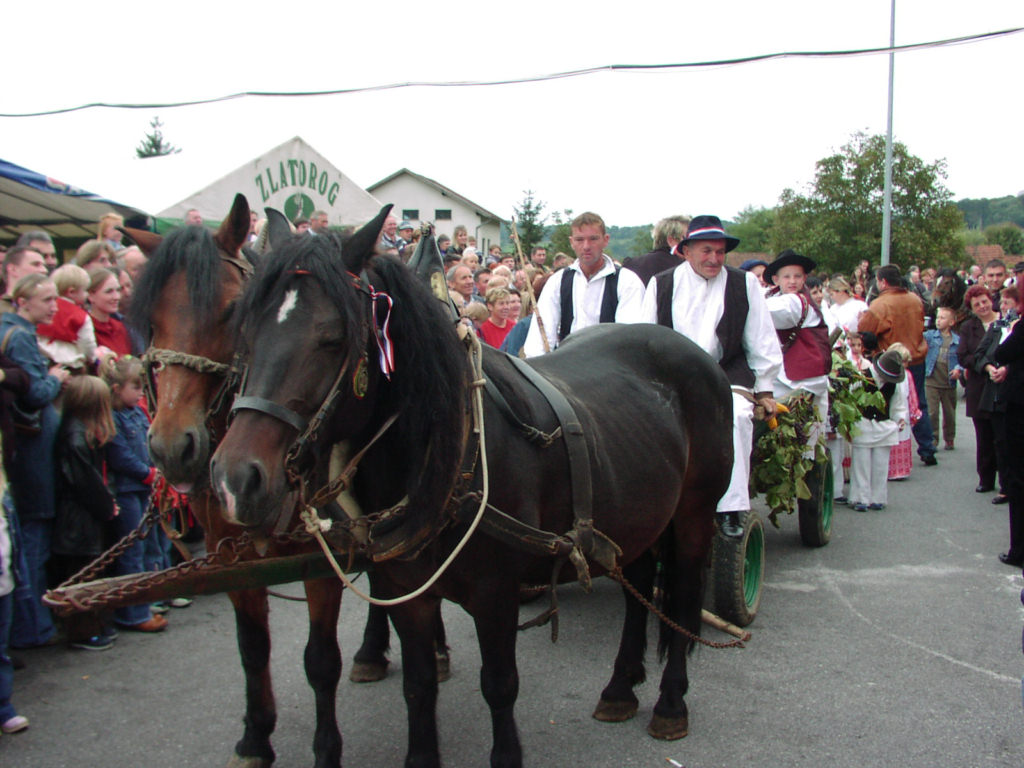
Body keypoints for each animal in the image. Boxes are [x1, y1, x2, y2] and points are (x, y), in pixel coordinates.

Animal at [209, 207, 737, 765]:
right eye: (244, 334)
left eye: (333, 338)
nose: (234, 479)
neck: (447, 454)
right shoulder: (407, 591)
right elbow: (419, 684)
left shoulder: (495, 593)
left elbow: (499, 684)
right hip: (638, 512)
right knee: (637, 584)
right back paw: (620, 687)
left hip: (694, 514)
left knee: (682, 596)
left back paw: (670, 702)